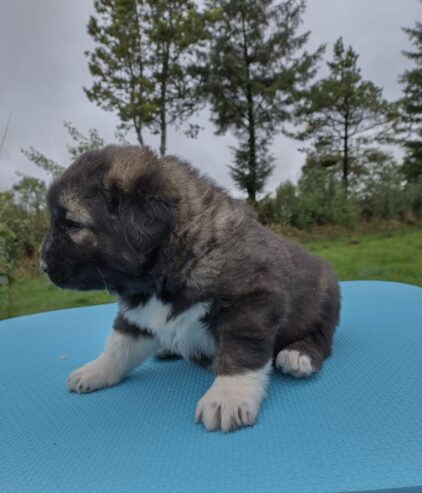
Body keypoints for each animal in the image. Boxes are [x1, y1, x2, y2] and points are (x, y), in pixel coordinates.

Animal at [41, 145, 342, 430]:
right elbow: (118, 344)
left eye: (73, 224)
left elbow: (240, 350)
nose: (42, 266)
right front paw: (95, 370)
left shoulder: (251, 302)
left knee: (322, 337)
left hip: (325, 295)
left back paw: (299, 355)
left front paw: (227, 396)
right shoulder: (136, 310)